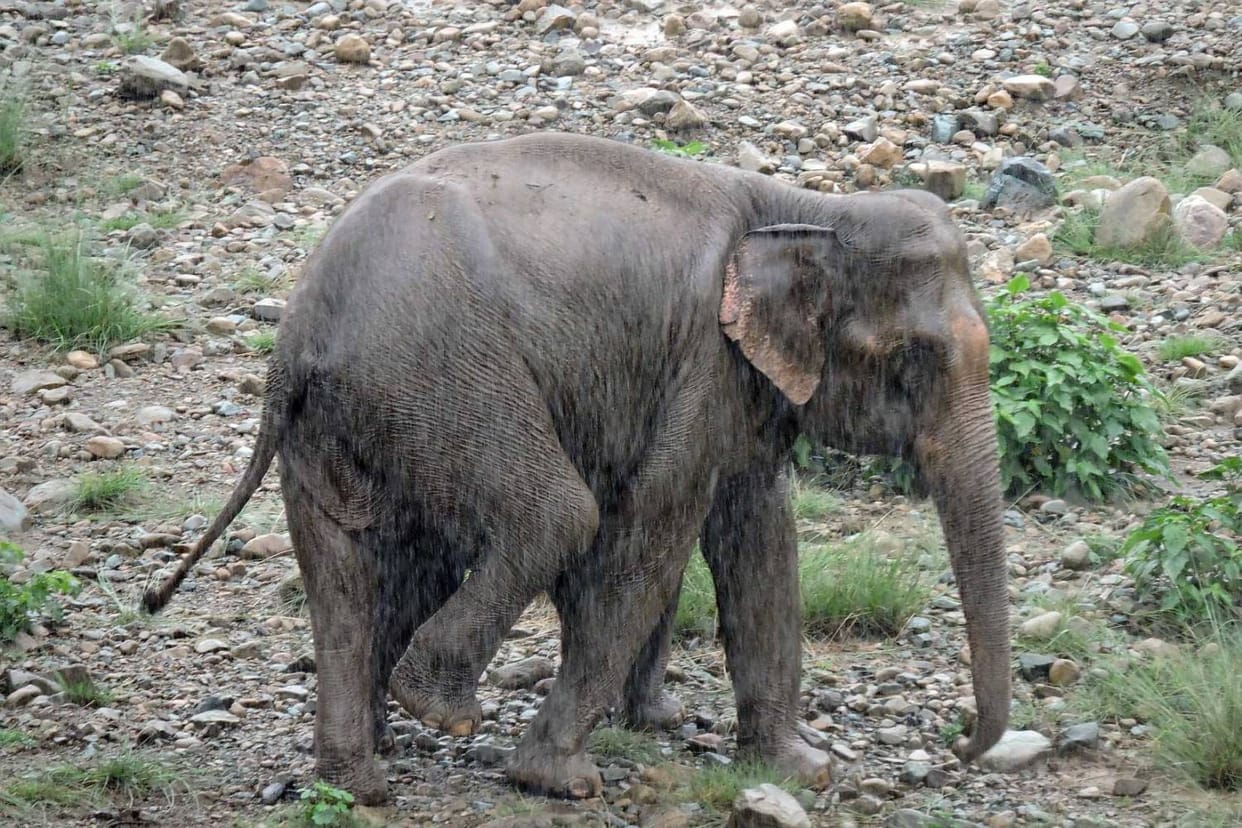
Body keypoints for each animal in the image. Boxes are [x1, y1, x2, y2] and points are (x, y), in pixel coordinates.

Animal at [143, 131, 1010, 805]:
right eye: (912, 361)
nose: (962, 747)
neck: (809, 207)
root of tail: (295, 338)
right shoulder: (700, 364)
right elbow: (644, 546)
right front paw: (559, 779)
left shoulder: (739, 389)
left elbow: (760, 541)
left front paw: (800, 770)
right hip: (442, 373)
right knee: (554, 515)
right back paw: (440, 712)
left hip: (341, 428)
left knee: (352, 576)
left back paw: (358, 782)